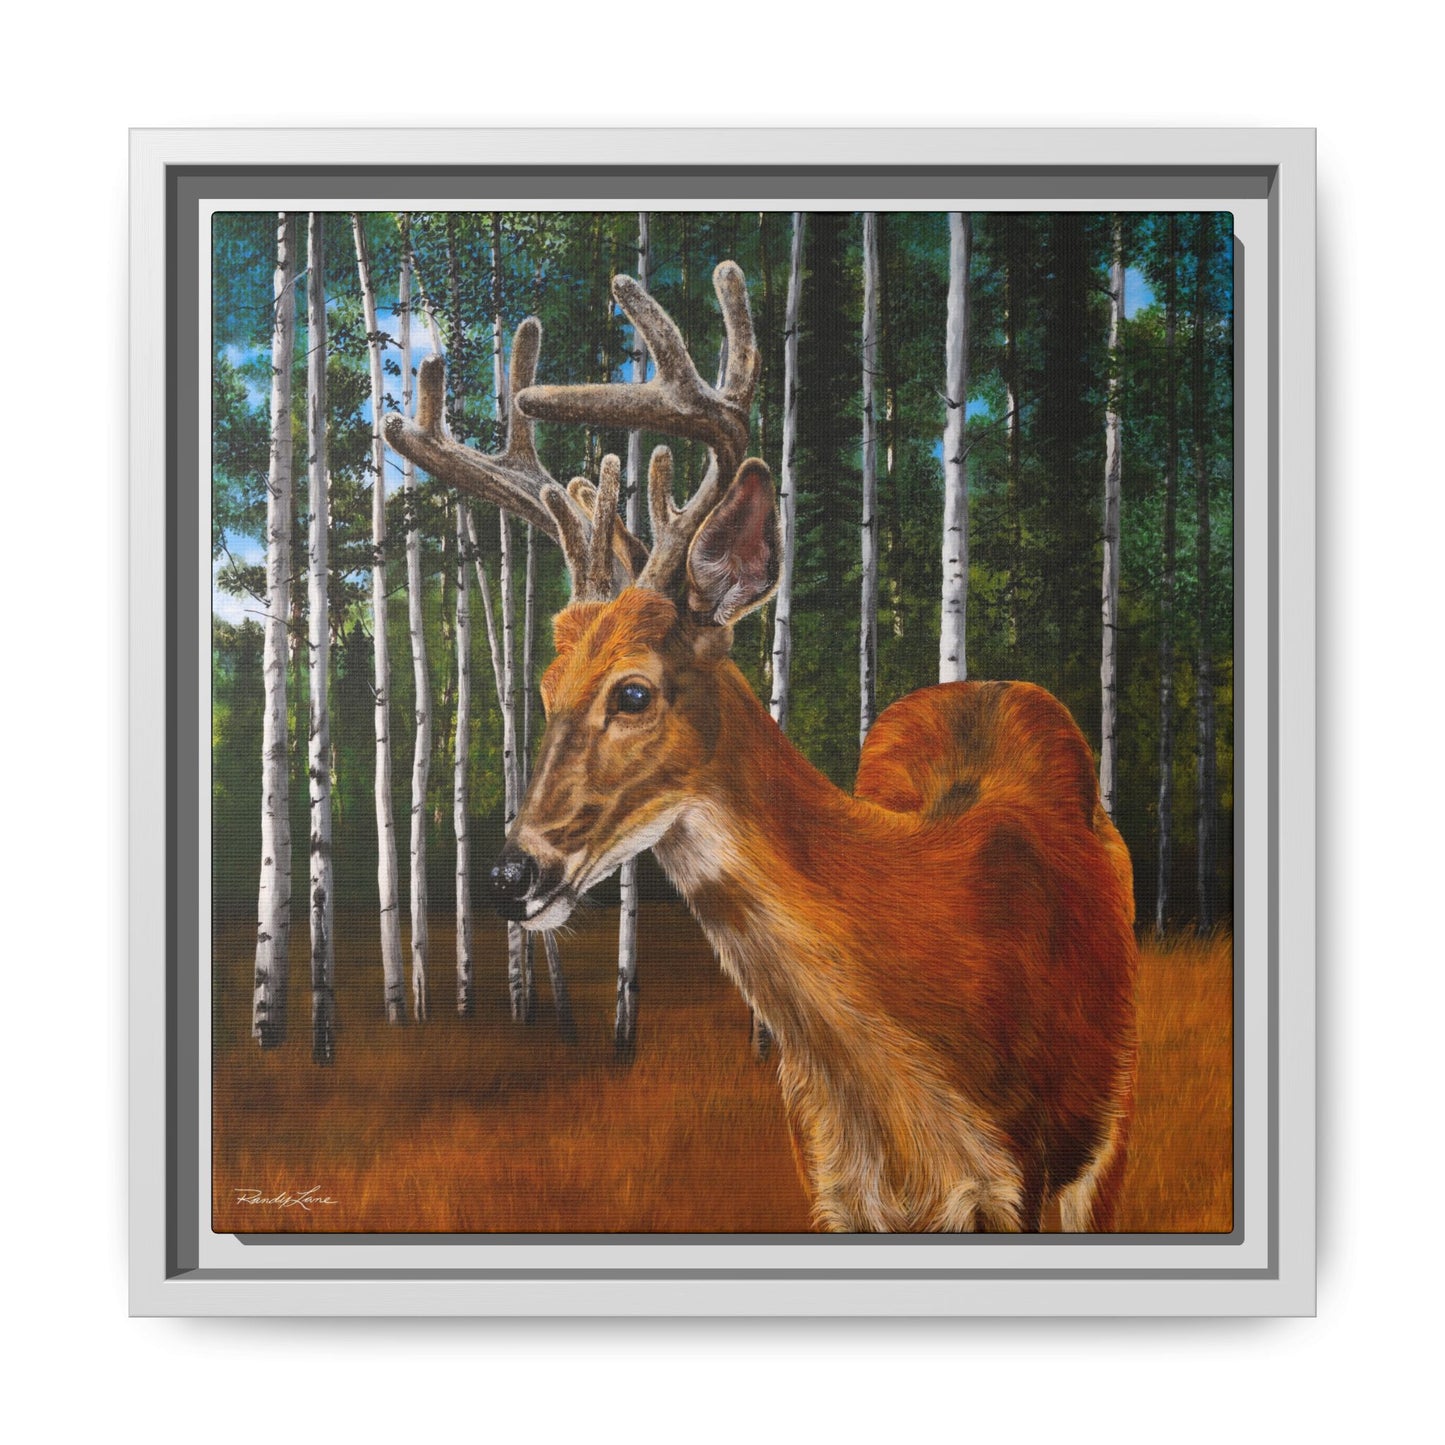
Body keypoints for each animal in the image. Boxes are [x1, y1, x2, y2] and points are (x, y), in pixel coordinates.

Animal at [383, 260, 1138, 1233]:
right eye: (545, 689)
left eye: (633, 691)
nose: (510, 875)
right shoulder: (826, 1179)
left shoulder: (1024, 1180)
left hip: (1107, 1136)